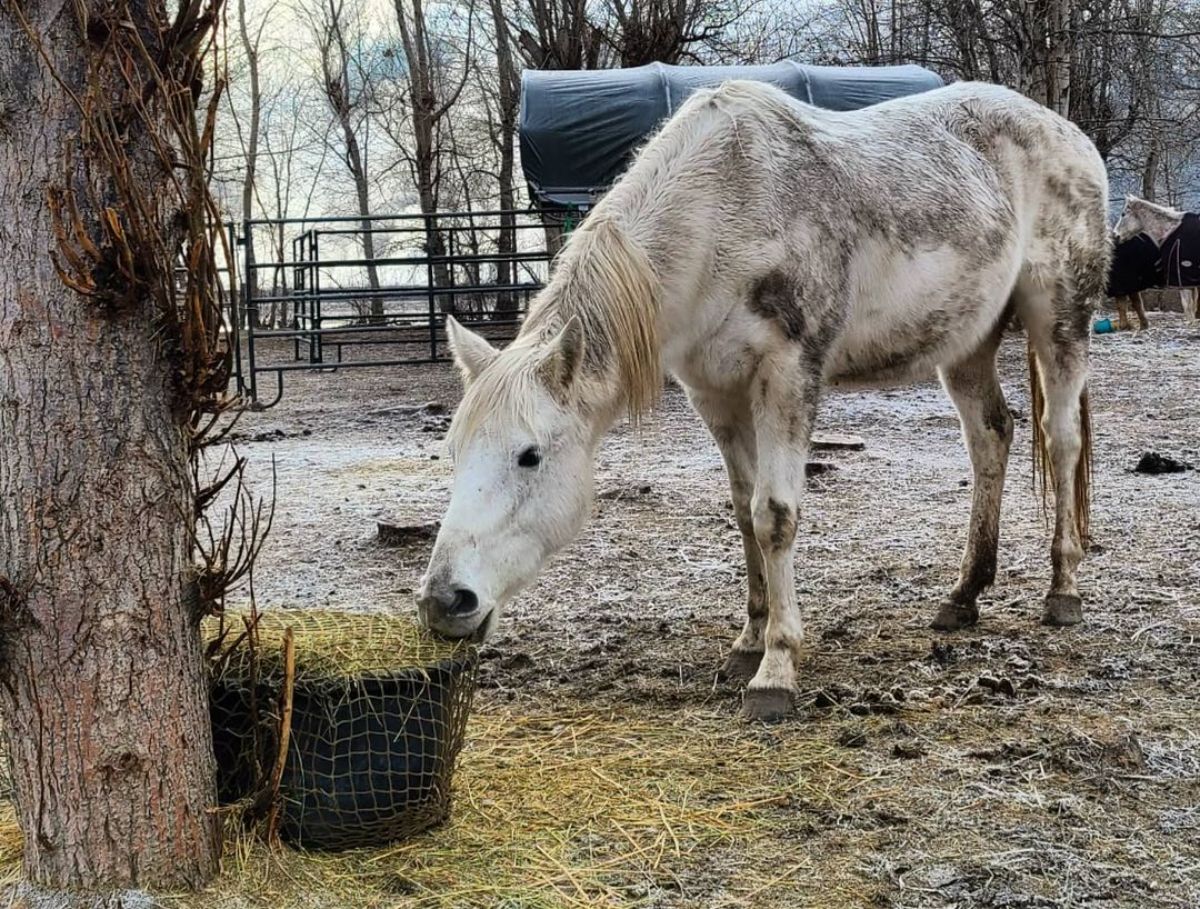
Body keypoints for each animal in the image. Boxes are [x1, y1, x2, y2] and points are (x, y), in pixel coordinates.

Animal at [417, 80, 1108, 719]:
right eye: (453, 454)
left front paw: (776, 670)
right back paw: (964, 596)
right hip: (967, 344)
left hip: (1059, 321)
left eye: (529, 455)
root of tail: (1070, 135)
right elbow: (744, 512)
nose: (443, 602)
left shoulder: (786, 376)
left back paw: (1064, 589)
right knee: (991, 436)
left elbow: (775, 514)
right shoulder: (716, 394)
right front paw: (748, 643)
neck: (719, 215)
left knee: (1062, 438)